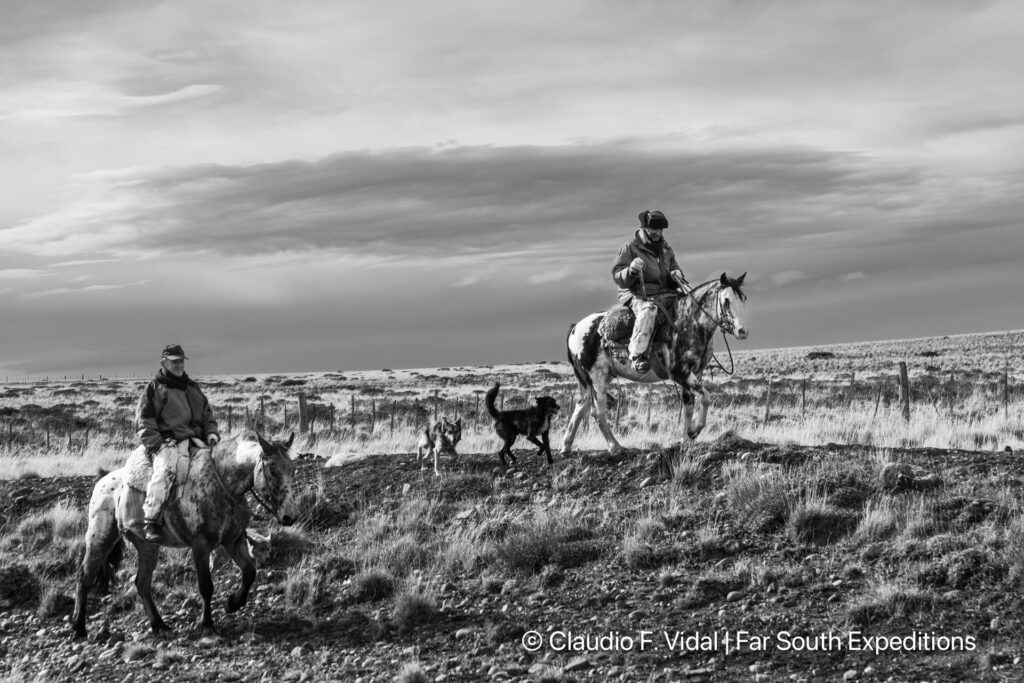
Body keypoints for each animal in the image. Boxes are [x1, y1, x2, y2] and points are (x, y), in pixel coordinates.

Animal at [73, 436, 299, 638]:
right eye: (273, 471)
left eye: (292, 470)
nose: (290, 516)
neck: (221, 483)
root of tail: (102, 483)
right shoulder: (200, 545)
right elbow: (206, 586)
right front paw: (207, 625)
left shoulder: (233, 541)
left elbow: (250, 573)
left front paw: (232, 604)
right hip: (100, 539)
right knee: (85, 578)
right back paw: (78, 628)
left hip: (147, 546)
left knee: (142, 584)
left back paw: (159, 625)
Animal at [565, 270, 749, 454]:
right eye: (726, 300)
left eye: (744, 298)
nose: (743, 331)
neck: (687, 323)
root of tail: (575, 328)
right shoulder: (679, 372)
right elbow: (705, 397)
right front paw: (694, 430)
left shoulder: (695, 373)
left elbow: (688, 407)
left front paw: (685, 441)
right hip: (597, 377)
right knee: (597, 411)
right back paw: (615, 446)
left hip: (592, 381)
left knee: (580, 407)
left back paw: (566, 446)